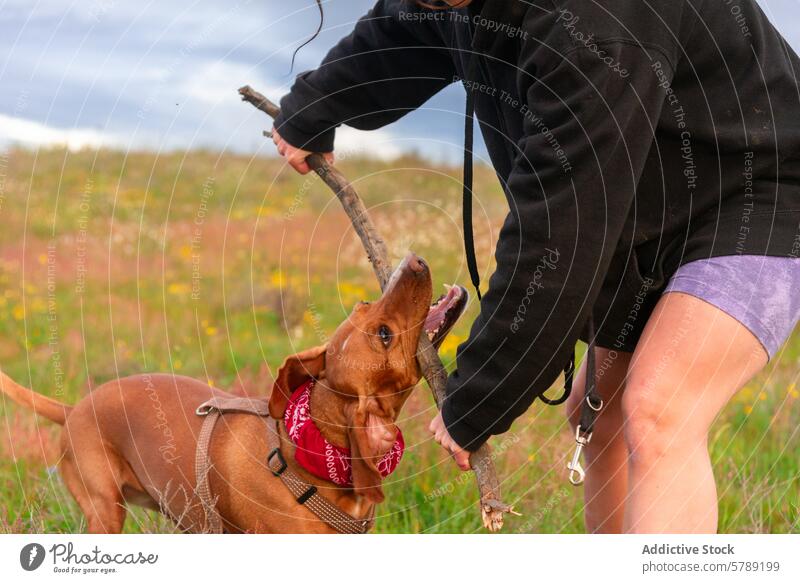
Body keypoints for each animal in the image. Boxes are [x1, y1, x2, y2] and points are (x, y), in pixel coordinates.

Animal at [0, 256, 466, 532]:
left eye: (366, 307)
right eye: (382, 332)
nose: (415, 261)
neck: (314, 447)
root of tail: (72, 408)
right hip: (104, 510)